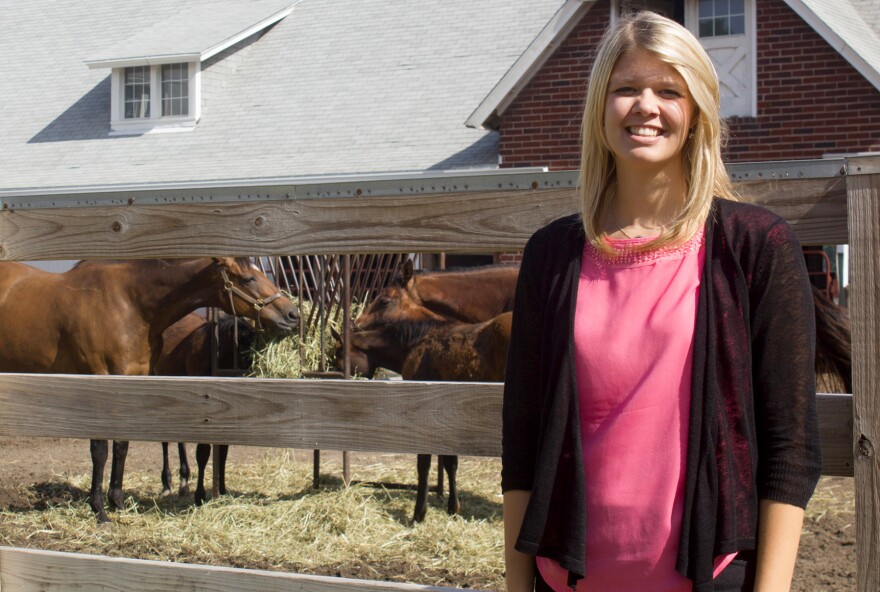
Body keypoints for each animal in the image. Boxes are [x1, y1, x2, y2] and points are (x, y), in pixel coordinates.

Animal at [0, 256, 300, 520]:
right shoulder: (99, 381)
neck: (129, 305)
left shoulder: (134, 380)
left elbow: (122, 445)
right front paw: (99, 510)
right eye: (249, 278)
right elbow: (100, 448)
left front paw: (117, 502)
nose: (293, 313)